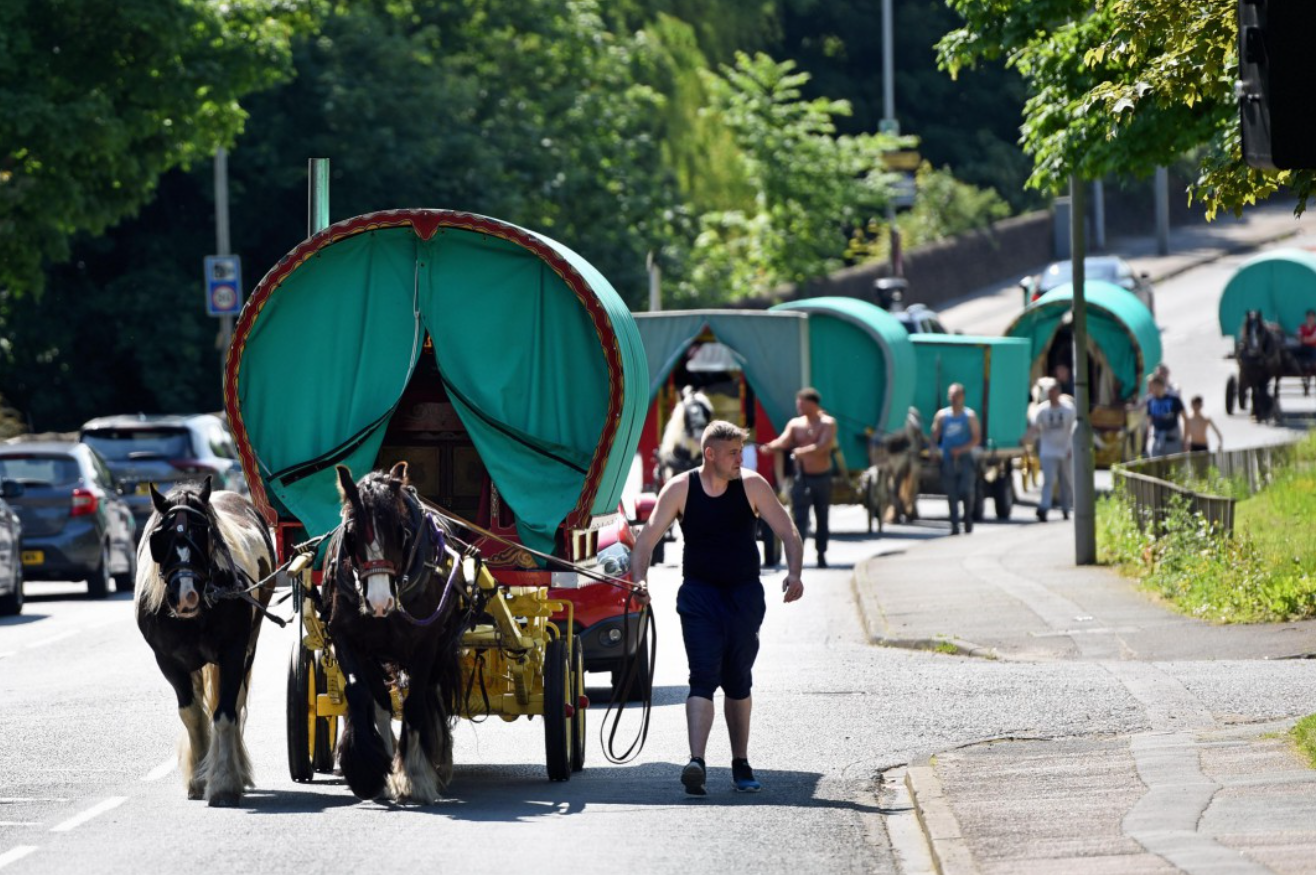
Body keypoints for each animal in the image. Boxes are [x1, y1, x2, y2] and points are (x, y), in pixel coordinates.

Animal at [134, 478, 276, 805]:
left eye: (204, 531)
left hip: (249, 646)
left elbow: (224, 713)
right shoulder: (169, 662)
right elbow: (192, 715)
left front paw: (223, 783)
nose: (186, 594)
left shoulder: (233, 652)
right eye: (160, 536)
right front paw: (198, 779)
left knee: (236, 704)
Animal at [323, 463, 468, 805]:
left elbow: (415, 702)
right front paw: (366, 768)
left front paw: (414, 775)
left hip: (440, 647)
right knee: (382, 699)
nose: (379, 602)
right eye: (351, 535)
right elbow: (360, 692)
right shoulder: (346, 639)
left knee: (429, 692)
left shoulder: (426, 644)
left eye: (400, 531)